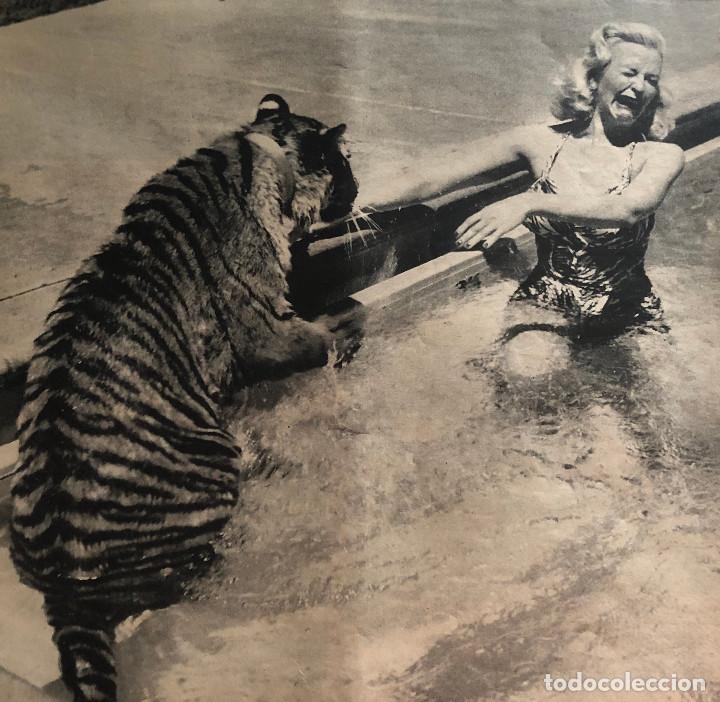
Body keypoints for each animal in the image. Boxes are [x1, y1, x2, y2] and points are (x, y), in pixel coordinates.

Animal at [9, 94, 362, 702]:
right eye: (343, 165)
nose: (360, 189)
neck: (255, 150)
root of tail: (66, 589)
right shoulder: (265, 326)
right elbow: (319, 334)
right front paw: (349, 323)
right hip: (214, 460)